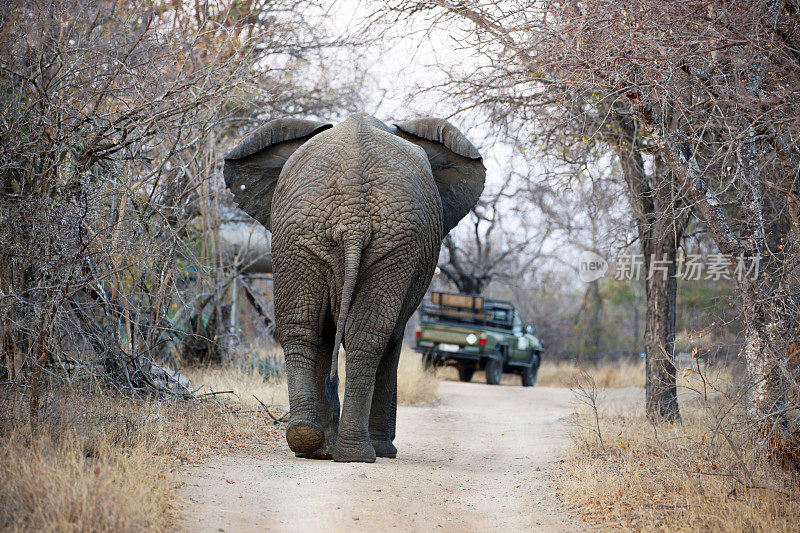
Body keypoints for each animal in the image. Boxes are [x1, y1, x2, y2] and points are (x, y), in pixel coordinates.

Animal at [225, 113, 484, 462]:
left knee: (305, 328)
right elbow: (388, 339)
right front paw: (379, 450)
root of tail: (352, 214)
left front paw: (326, 446)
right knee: (364, 337)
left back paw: (313, 442)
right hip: (359, 239)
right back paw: (355, 452)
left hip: (314, 236)